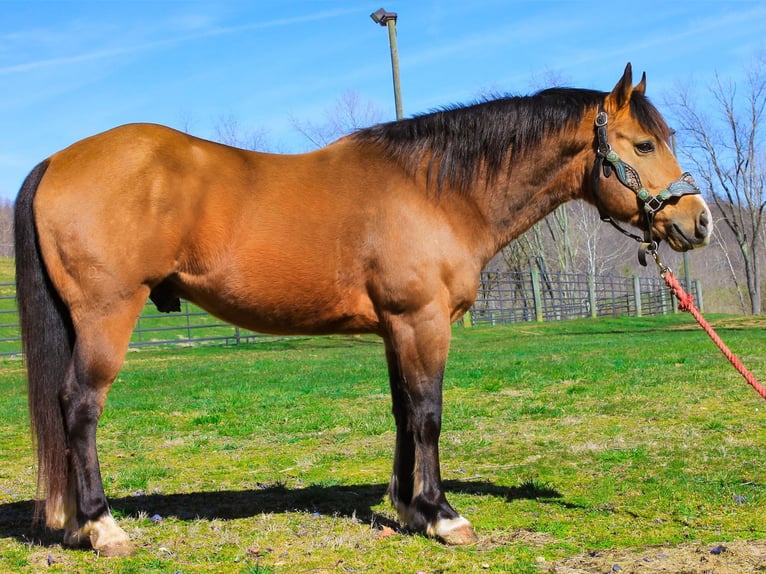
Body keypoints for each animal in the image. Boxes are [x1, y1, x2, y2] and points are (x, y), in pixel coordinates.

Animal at [13, 64, 712, 560]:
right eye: (643, 144)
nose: (698, 220)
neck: (436, 190)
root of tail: (56, 160)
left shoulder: (396, 328)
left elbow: (405, 413)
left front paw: (409, 509)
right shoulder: (422, 320)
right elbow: (429, 415)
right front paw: (445, 516)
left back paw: (72, 523)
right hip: (107, 315)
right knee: (79, 406)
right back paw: (102, 527)